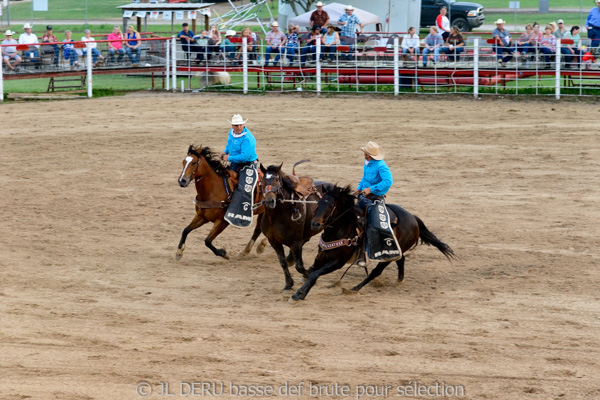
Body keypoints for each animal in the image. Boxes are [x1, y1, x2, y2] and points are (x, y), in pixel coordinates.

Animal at [258, 164, 332, 292]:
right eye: (262, 181)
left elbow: (300, 266)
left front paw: (307, 276)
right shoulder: (274, 241)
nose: (270, 200)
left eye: (276, 179)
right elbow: (283, 263)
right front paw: (288, 284)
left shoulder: (295, 242)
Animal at [290, 186, 454, 302]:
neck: (343, 228)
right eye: (318, 203)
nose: (315, 224)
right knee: (401, 259)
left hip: (387, 256)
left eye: (331, 206)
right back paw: (399, 281)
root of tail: (413, 218)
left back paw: (354, 289)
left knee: (376, 271)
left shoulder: (337, 262)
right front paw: (300, 290)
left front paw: (299, 295)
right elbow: (311, 272)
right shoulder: (322, 256)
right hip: (396, 250)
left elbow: (315, 274)